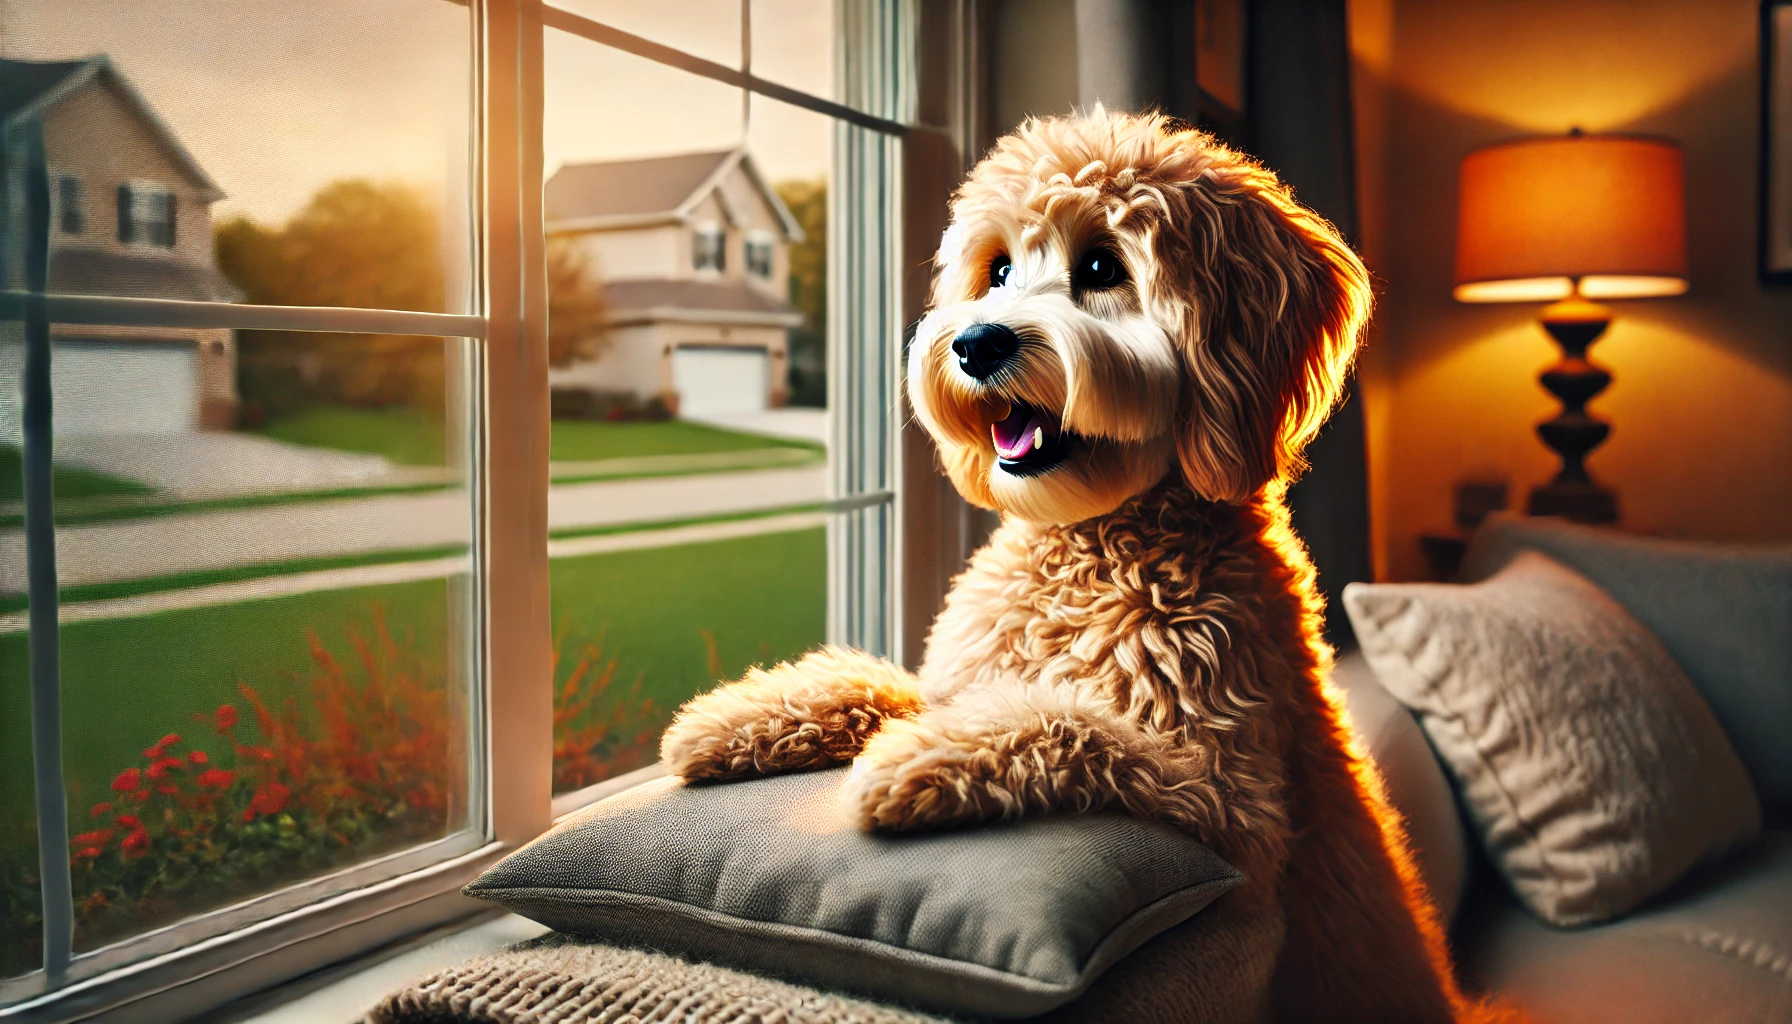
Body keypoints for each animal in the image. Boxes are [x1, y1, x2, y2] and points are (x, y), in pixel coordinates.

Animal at [659, 108, 1512, 1018]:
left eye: (1101, 265)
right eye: (997, 269)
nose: (975, 343)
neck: (1087, 547)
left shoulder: (1229, 798)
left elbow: (1064, 723)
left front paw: (913, 760)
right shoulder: (962, 677)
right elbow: (888, 684)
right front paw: (734, 718)